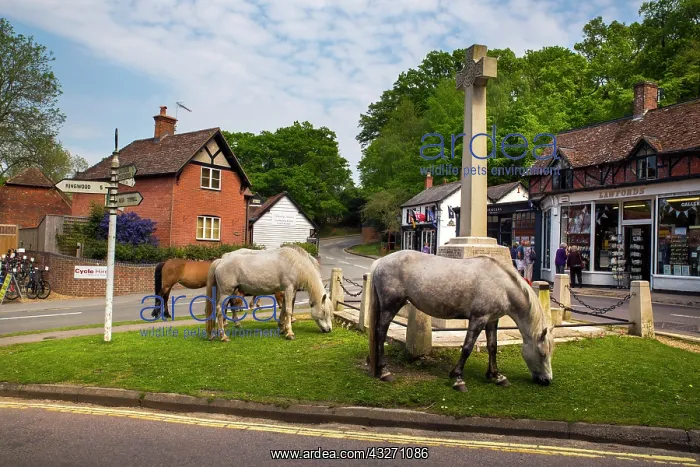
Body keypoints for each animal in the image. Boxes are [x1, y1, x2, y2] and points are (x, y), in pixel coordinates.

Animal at [367, 250, 554, 392]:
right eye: (542, 353)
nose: (547, 380)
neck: (502, 285)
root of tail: (381, 261)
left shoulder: (492, 321)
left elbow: (492, 347)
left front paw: (496, 376)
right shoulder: (478, 319)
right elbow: (467, 348)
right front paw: (458, 378)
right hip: (391, 306)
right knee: (380, 332)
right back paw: (384, 371)